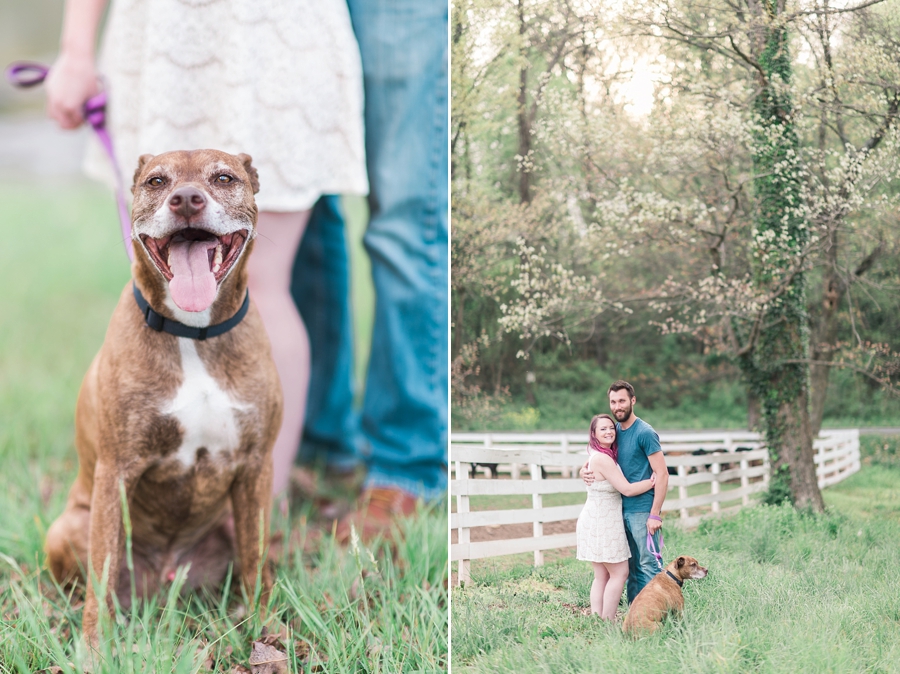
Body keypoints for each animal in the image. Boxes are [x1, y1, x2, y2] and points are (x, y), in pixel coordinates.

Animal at [44, 148, 282, 644]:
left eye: (223, 178)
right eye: (156, 181)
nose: (187, 199)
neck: (193, 333)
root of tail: (164, 580)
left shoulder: (256, 467)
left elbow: (255, 558)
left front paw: (265, 630)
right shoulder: (116, 471)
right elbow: (103, 566)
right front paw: (94, 648)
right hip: (67, 525)